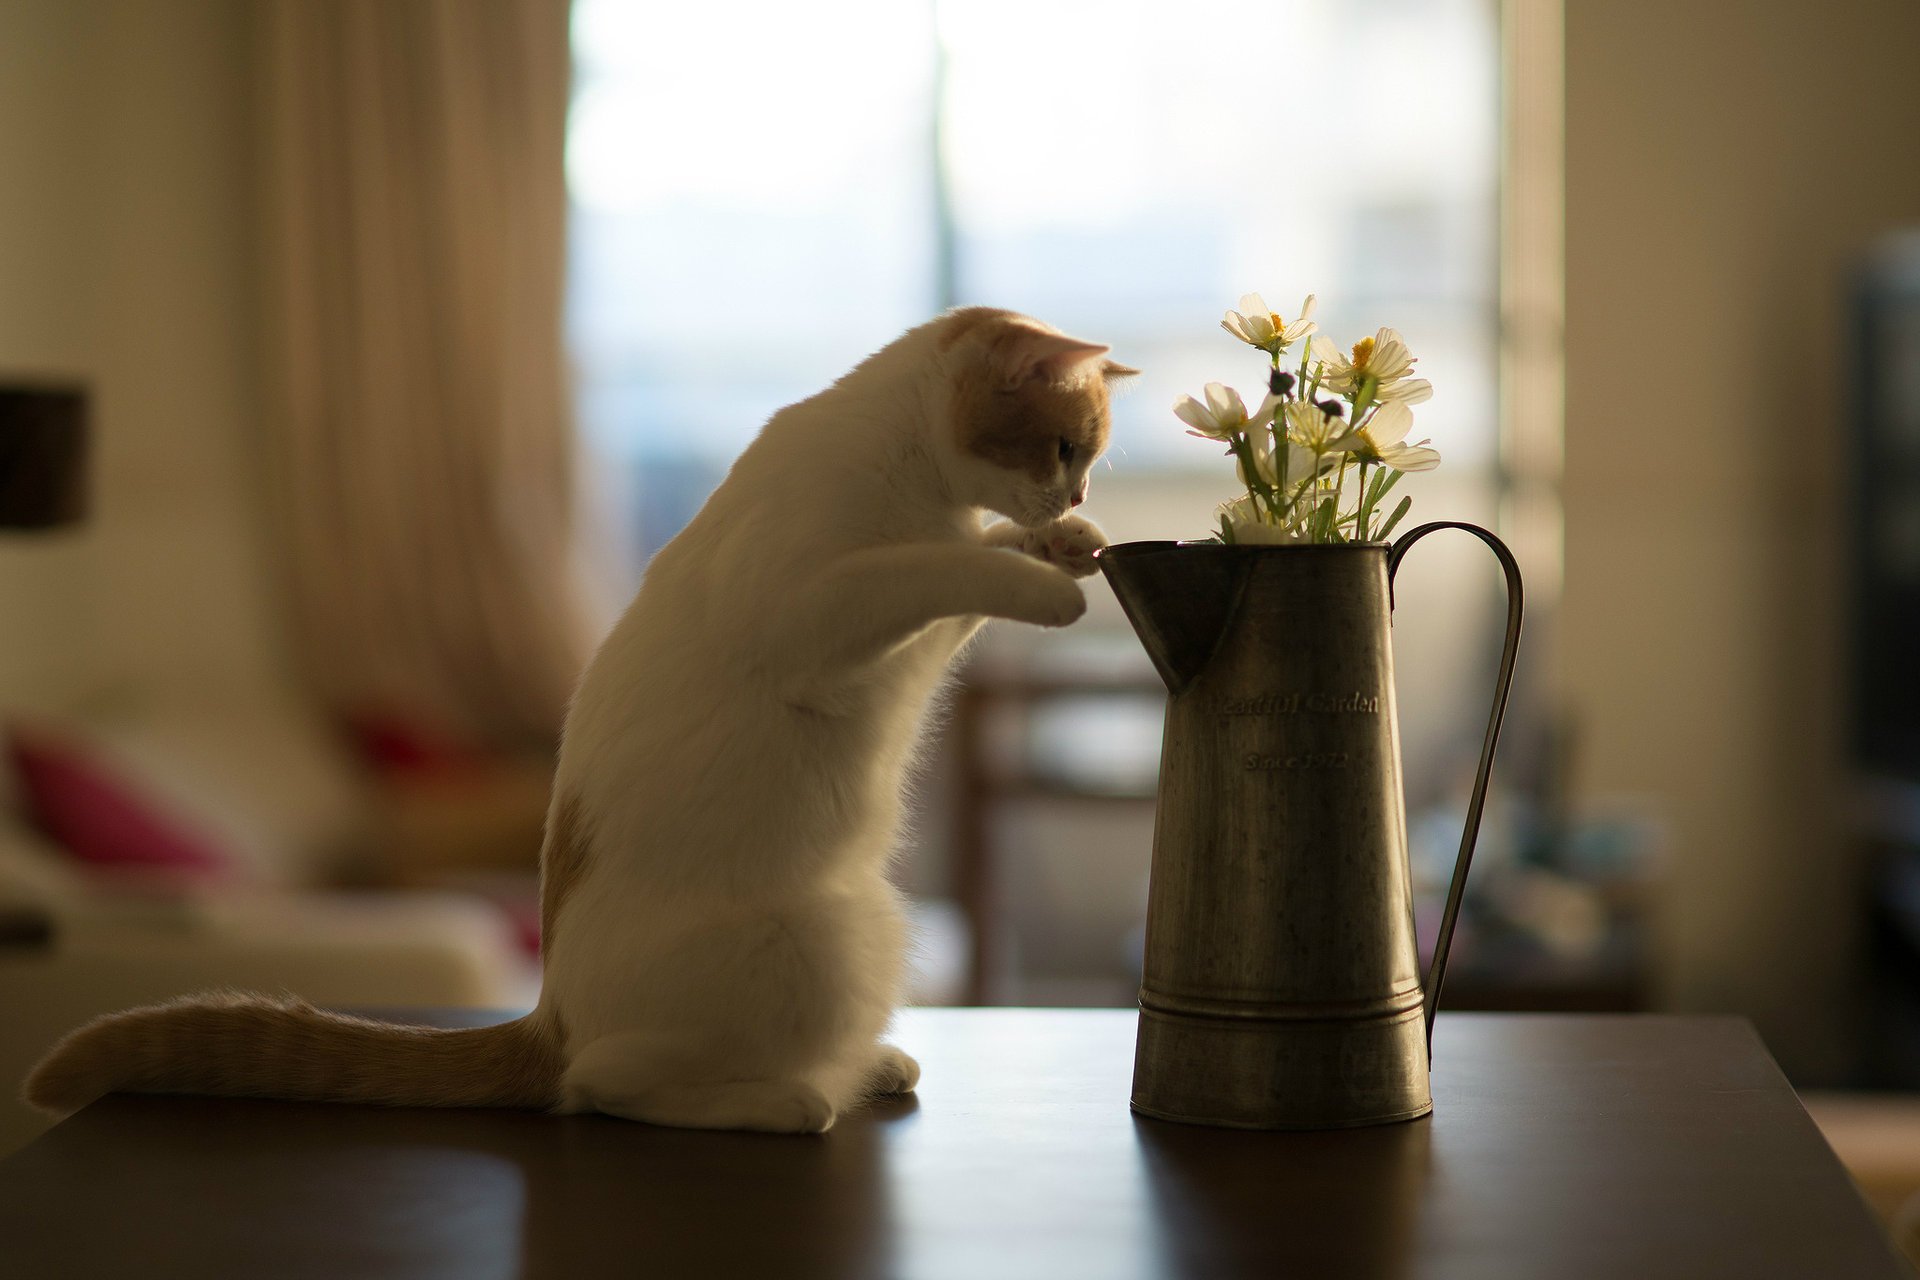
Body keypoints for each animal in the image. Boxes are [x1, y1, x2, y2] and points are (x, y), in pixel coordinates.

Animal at [22, 307, 1128, 1128]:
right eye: (1063, 446)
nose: (1077, 492)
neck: (908, 469)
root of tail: (544, 1013)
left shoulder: (911, 638)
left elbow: (968, 572)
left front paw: (1068, 548)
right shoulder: (819, 611)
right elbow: (940, 566)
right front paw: (1049, 578)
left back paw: (870, 1067)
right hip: (819, 942)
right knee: (601, 1084)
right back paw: (793, 1098)